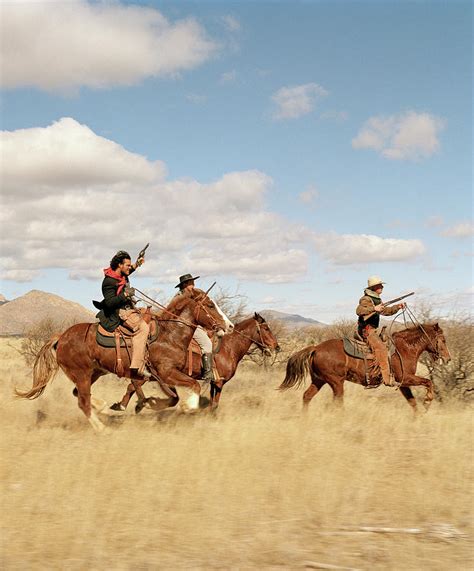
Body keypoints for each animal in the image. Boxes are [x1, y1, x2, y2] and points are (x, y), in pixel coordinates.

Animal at [15, 288, 227, 432]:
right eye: (210, 305)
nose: (228, 325)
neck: (170, 335)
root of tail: (61, 337)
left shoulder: (163, 377)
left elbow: (173, 397)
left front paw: (149, 403)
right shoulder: (167, 373)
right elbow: (193, 387)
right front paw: (187, 406)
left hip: (93, 373)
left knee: (79, 395)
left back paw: (105, 408)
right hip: (82, 374)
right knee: (83, 401)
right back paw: (102, 429)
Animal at [115, 310, 282, 414]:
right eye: (266, 328)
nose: (277, 347)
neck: (229, 348)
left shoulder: (214, 383)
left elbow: (213, 403)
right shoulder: (219, 382)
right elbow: (214, 405)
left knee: (132, 385)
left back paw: (125, 405)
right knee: (134, 384)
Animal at [280, 324, 450, 414]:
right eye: (442, 339)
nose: (447, 358)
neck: (405, 348)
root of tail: (315, 348)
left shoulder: (403, 383)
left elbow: (412, 402)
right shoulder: (406, 378)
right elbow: (428, 382)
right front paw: (427, 401)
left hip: (319, 380)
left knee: (307, 396)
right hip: (336, 382)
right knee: (337, 402)